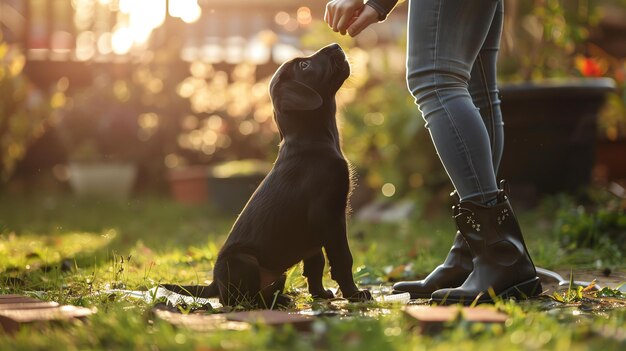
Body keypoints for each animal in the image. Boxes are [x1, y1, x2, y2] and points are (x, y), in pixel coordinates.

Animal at [201, 43, 370, 308]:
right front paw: (354, 294)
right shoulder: (328, 215)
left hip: (276, 274)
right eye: (304, 65)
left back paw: (281, 298)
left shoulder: (315, 230)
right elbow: (342, 258)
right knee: (237, 300)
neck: (312, 140)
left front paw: (319, 294)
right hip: (242, 261)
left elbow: (315, 264)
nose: (335, 45)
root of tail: (213, 285)